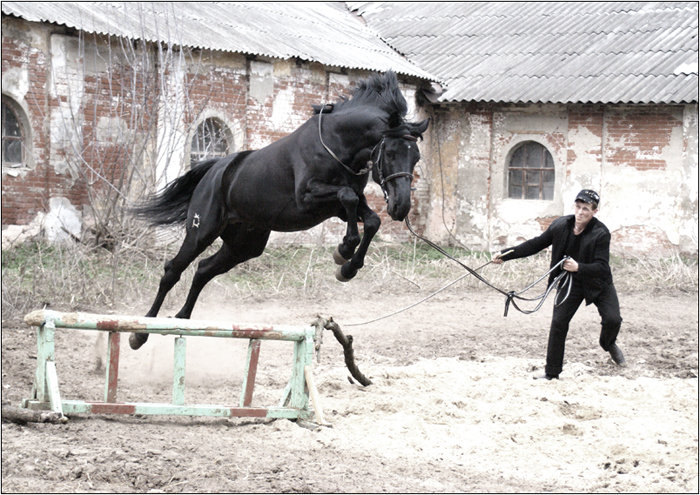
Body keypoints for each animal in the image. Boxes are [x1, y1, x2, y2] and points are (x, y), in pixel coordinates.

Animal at [129, 70, 430, 350]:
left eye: (416, 156)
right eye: (390, 153)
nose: (401, 206)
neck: (337, 145)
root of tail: (215, 171)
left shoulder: (340, 207)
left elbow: (370, 219)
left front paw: (347, 266)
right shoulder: (309, 197)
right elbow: (348, 199)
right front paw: (344, 250)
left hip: (244, 245)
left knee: (203, 270)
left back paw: (181, 319)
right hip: (201, 232)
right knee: (173, 270)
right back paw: (140, 332)